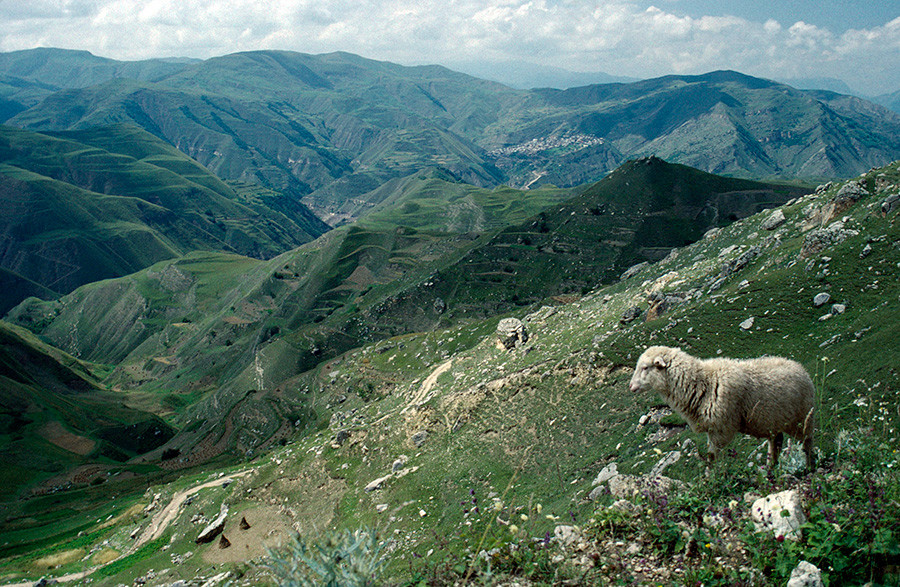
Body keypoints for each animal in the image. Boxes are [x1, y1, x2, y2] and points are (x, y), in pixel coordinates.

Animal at [624, 346, 816, 470]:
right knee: (776, 443)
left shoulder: (721, 429)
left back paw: (809, 467)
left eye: (645, 367)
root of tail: (802, 369)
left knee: (807, 443)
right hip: (773, 422)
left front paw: (711, 480)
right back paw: (771, 469)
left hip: (802, 419)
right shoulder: (712, 429)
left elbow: (712, 458)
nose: (631, 386)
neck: (702, 382)